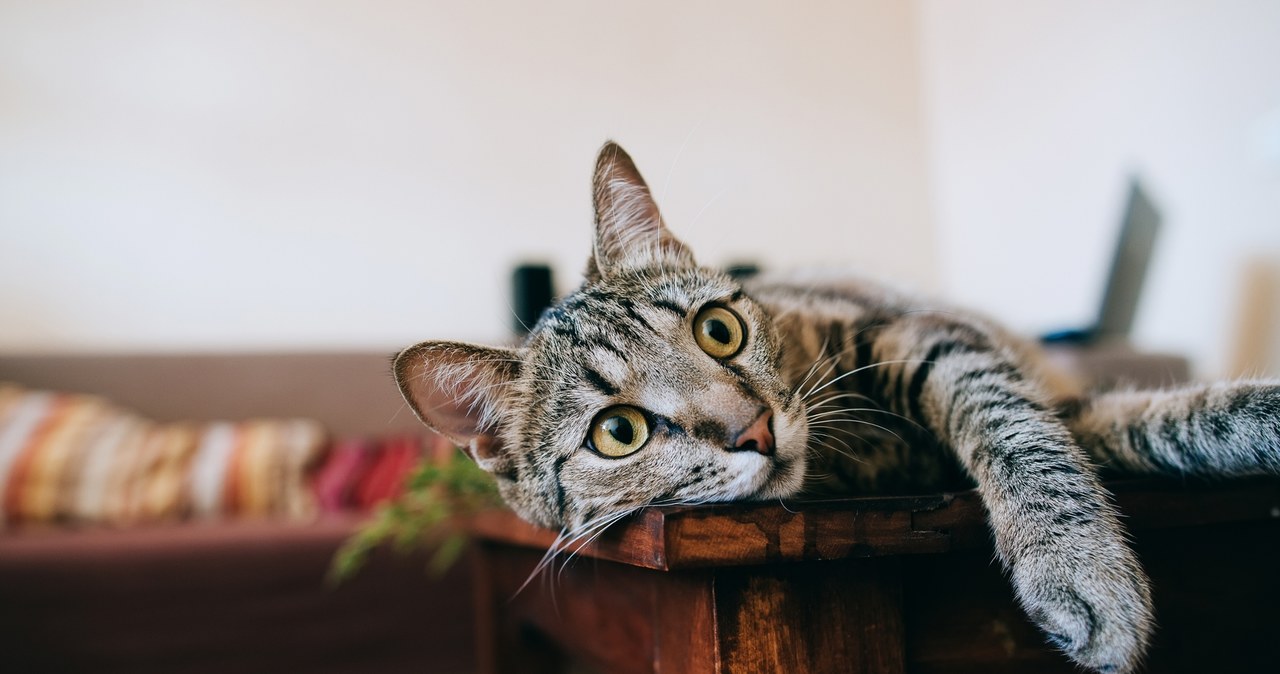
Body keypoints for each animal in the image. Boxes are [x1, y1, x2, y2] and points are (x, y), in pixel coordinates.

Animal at [394, 141, 1274, 670]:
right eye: (618, 432)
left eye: (718, 330)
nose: (752, 427)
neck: (856, 465)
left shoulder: (926, 336)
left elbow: (1031, 425)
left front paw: (1077, 564)